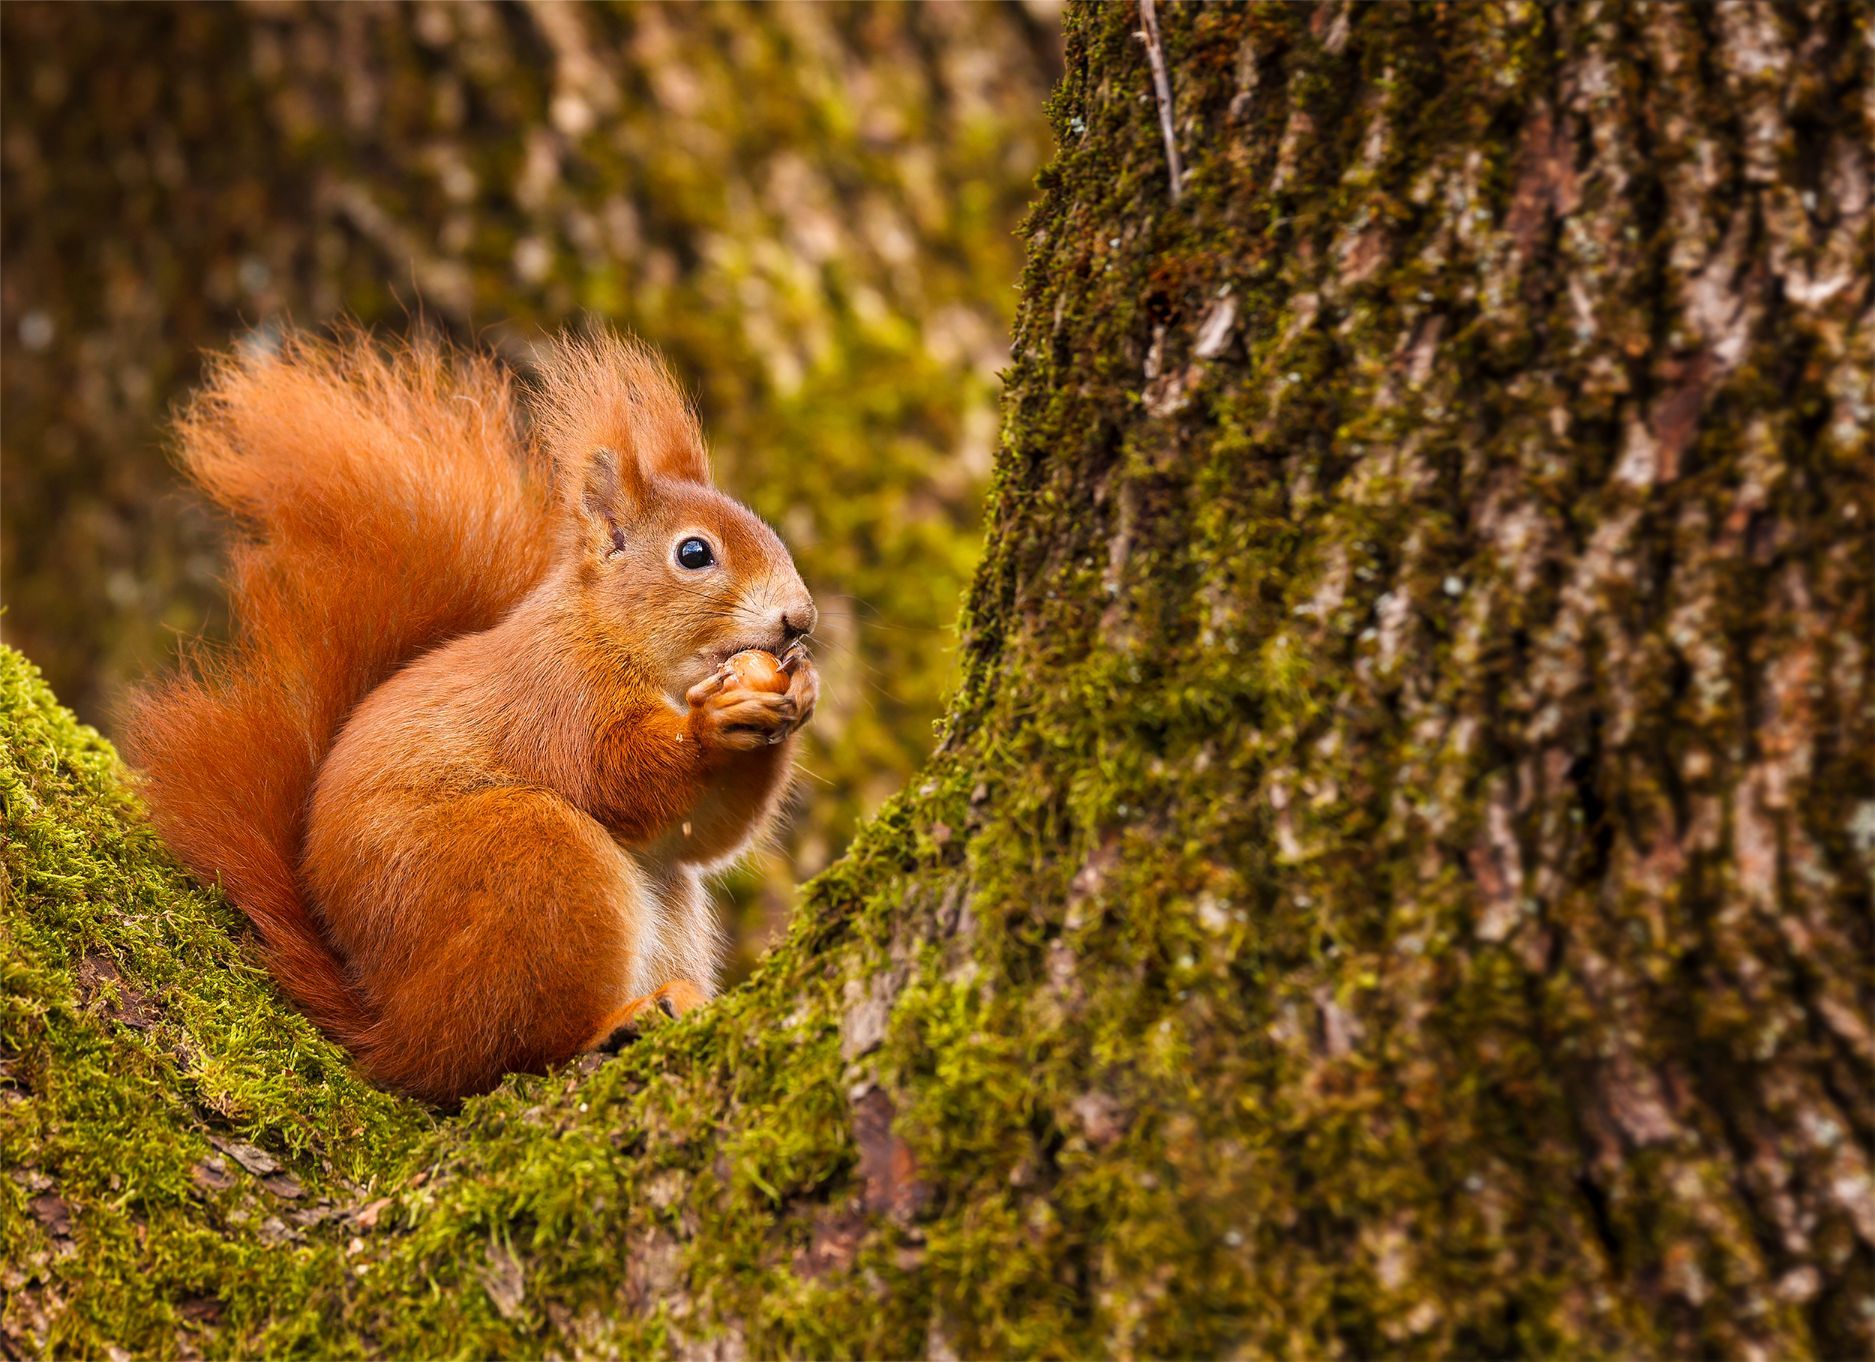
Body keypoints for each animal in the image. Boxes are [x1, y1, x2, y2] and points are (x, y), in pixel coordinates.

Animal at [124, 330, 813, 1110]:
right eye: (694, 553)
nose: (800, 620)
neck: (616, 637)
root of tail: (394, 1032)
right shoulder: (558, 696)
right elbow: (615, 776)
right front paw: (711, 725)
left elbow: (705, 833)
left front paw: (798, 692)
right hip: (532, 862)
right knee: (507, 1054)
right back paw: (614, 1022)